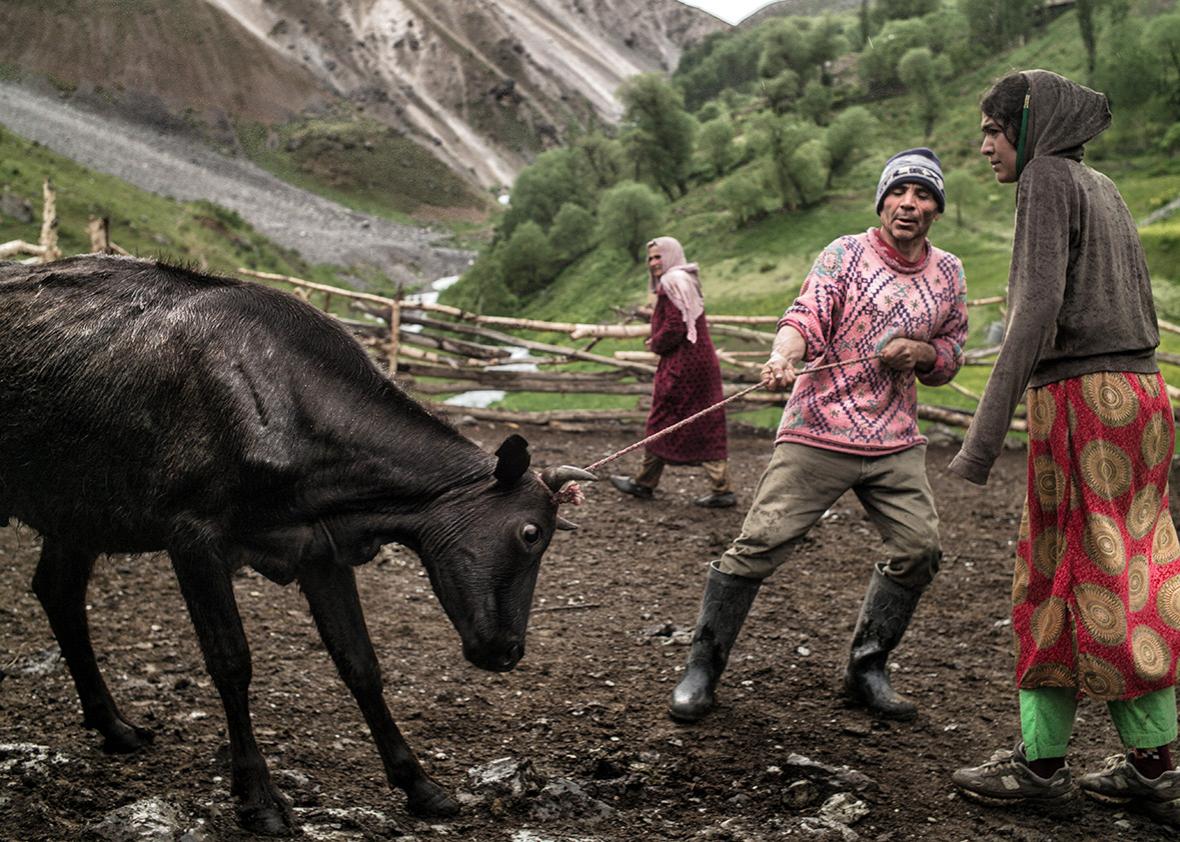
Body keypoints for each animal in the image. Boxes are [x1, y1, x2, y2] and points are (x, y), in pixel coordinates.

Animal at [0, 255, 590, 834]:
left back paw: (115, 727)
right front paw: (259, 798)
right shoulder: (191, 534)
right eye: (531, 532)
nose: (509, 650)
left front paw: (419, 784)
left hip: (76, 512)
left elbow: (361, 664)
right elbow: (231, 662)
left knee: (57, 593)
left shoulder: (319, 551)